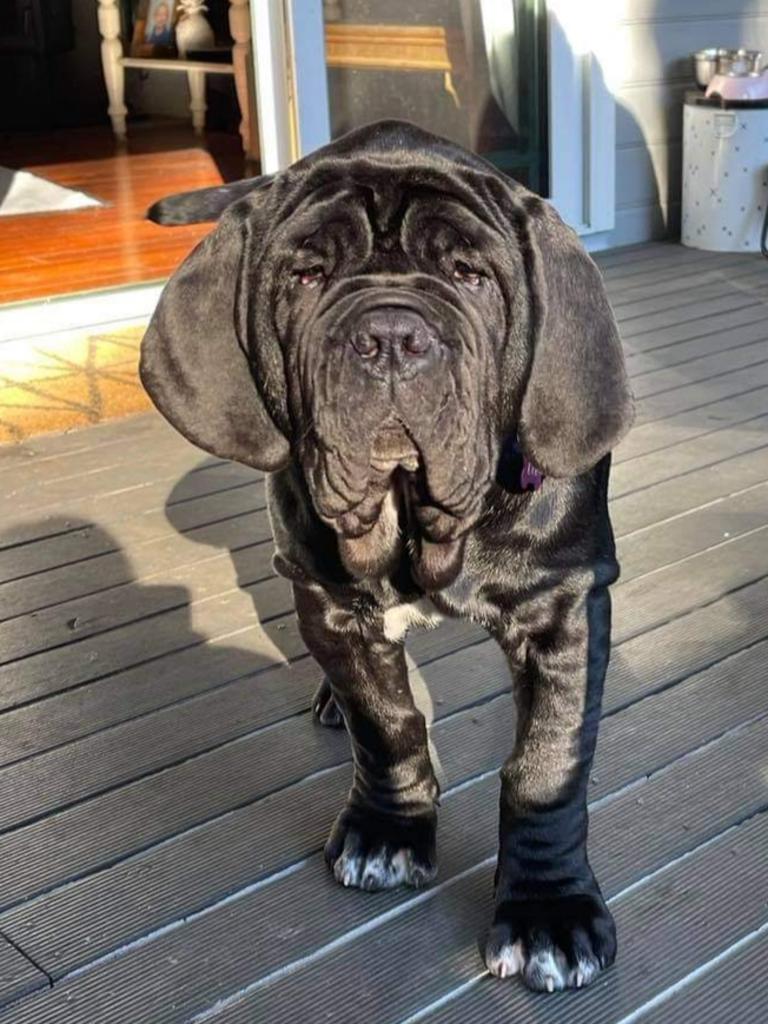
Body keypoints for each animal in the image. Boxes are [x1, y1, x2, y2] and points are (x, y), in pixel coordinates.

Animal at [141, 117, 634, 991]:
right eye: (306, 275)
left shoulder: (566, 604)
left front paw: (549, 911)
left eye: (471, 275)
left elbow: (547, 763)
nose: (392, 337)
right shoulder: (330, 603)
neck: (414, 523)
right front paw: (389, 831)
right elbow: (388, 721)